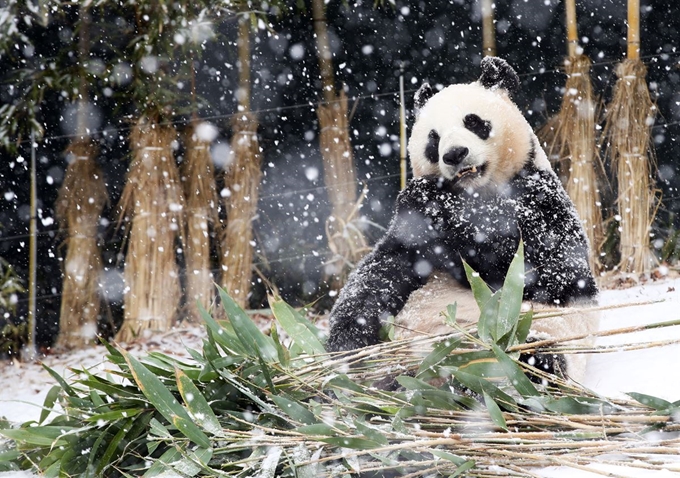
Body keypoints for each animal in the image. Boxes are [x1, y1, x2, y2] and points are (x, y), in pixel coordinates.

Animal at [326, 57, 596, 380]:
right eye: (433, 139)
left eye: (474, 122)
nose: (455, 154)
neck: (475, 192)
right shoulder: (414, 235)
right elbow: (377, 275)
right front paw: (345, 345)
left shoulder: (541, 197)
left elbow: (544, 269)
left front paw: (435, 201)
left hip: (529, 337)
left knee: (526, 358)